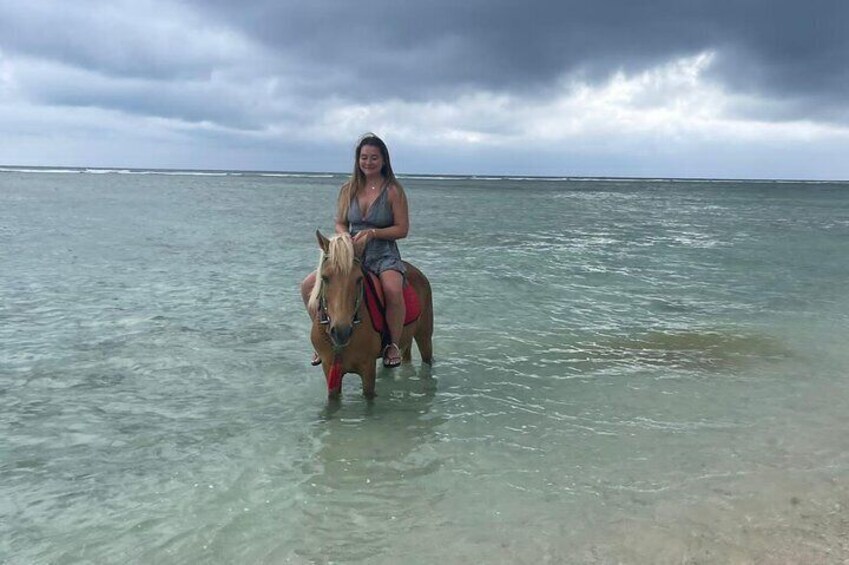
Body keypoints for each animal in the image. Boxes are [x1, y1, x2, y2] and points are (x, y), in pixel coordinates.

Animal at [308, 229, 434, 396]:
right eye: (325, 277)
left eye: (358, 278)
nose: (342, 332)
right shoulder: (329, 368)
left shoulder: (367, 368)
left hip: (424, 336)